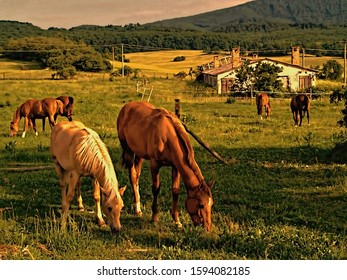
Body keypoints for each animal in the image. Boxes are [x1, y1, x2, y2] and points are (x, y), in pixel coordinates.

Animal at [117, 100, 215, 232]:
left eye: (211, 204)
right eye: (201, 205)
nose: (207, 227)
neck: (168, 137)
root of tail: (126, 107)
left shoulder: (175, 166)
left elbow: (175, 191)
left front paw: (177, 221)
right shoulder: (154, 165)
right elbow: (156, 189)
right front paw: (154, 218)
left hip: (140, 155)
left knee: (137, 177)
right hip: (128, 151)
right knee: (133, 177)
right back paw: (137, 209)